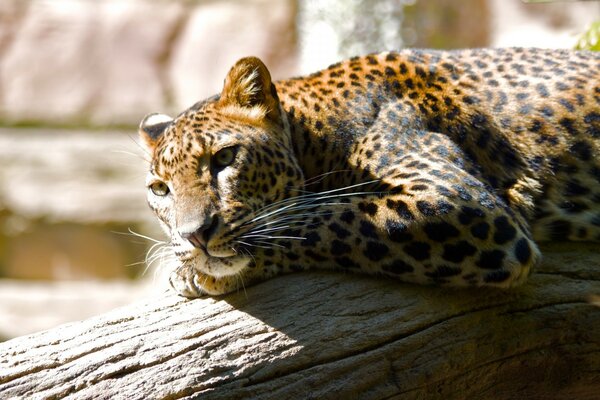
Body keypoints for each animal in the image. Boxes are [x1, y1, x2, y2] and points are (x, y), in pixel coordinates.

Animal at [137, 47, 600, 296]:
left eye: (224, 158)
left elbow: (328, 218)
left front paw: (196, 272)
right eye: (160, 190)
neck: (315, 134)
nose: (195, 236)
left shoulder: (460, 202)